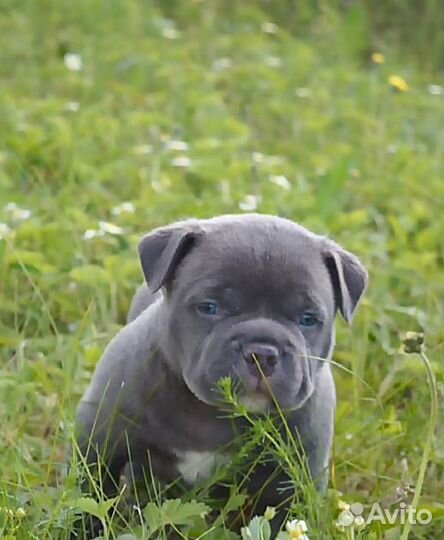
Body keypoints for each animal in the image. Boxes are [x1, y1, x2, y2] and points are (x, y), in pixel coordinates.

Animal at [76, 215, 368, 528]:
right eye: (209, 307)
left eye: (308, 319)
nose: (261, 351)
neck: (214, 414)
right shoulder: (100, 443)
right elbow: (87, 498)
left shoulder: (292, 480)